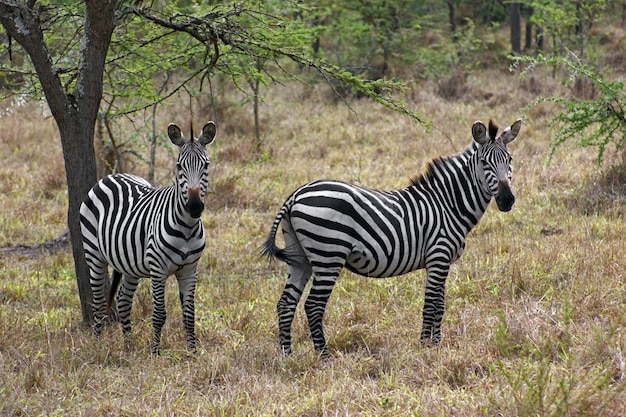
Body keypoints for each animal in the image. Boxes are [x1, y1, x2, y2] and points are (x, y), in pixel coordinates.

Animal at [80, 120, 217, 354]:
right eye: (179, 166)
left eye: (206, 165)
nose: (194, 206)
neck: (187, 229)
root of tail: (110, 176)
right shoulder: (158, 270)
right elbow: (159, 315)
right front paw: (155, 353)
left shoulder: (190, 270)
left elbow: (189, 315)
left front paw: (192, 353)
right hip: (94, 255)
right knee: (98, 304)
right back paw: (97, 345)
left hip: (129, 264)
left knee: (123, 301)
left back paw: (128, 347)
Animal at [260, 116, 520, 354]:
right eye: (485, 162)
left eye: (509, 160)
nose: (507, 200)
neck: (448, 204)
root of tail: (295, 194)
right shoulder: (438, 256)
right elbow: (431, 305)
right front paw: (425, 348)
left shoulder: (442, 262)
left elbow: (440, 304)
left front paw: (435, 345)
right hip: (328, 254)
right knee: (313, 305)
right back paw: (323, 355)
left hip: (300, 256)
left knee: (285, 303)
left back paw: (286, 356)